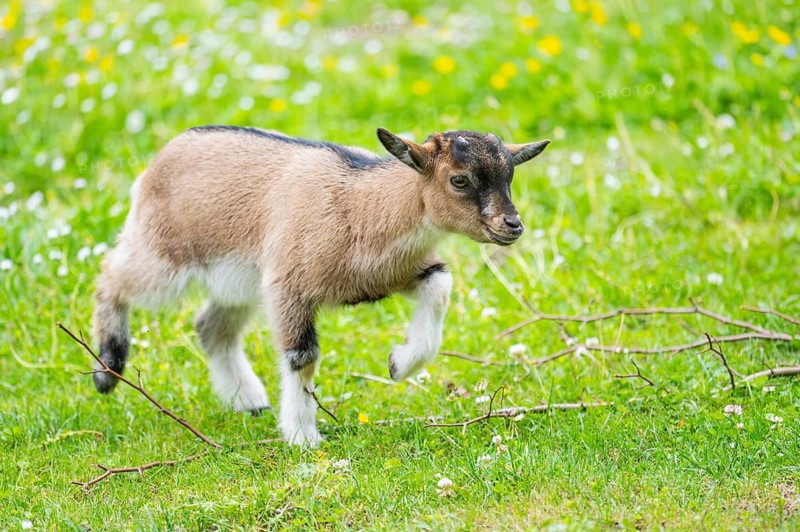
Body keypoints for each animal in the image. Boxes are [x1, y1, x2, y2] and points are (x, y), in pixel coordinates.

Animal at [92, 126, 550, 446]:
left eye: (510, 176)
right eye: (459, 180)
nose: (512, 226)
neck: (363, 206)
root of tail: (156, 164)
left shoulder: (391, 274)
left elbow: (440, 286)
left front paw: (398, 364)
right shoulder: (289, 287)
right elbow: (302, 355)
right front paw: (302, 436)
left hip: (238, 280)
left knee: (211, 327)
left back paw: (249, 401)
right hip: (166, 256)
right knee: (111, 275)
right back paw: (107, 371)